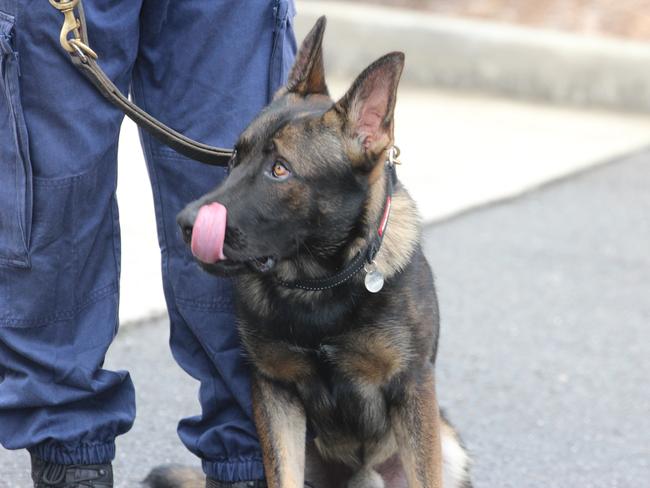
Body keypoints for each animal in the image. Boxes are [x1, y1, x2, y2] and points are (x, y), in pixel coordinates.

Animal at [151, 16, 470, 488]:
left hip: (447, 447)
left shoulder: (411, 389)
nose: (186, 223)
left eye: (280, 170)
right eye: (234, 159)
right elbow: (281, 471)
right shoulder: (274, 394)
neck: (318, 284)